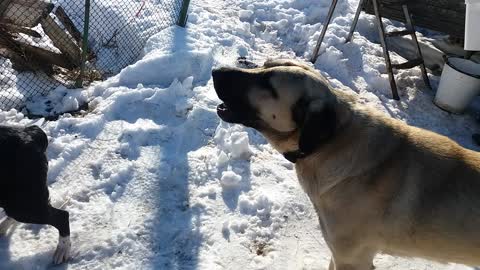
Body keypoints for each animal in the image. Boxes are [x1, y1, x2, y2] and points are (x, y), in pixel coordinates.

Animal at [212, 59, 480, 270]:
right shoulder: (339, 254)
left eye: (268, 84)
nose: (216, 70)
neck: (331, 142)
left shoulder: (352, 259)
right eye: (264, 65)